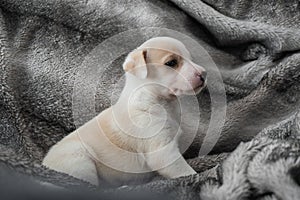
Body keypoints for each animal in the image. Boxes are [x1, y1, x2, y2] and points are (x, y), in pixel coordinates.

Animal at [42, 36, 206, 187]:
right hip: (80, 159)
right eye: (171, 63)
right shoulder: (163, 151)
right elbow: (185, 172)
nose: (204, 74)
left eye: (190, 58)